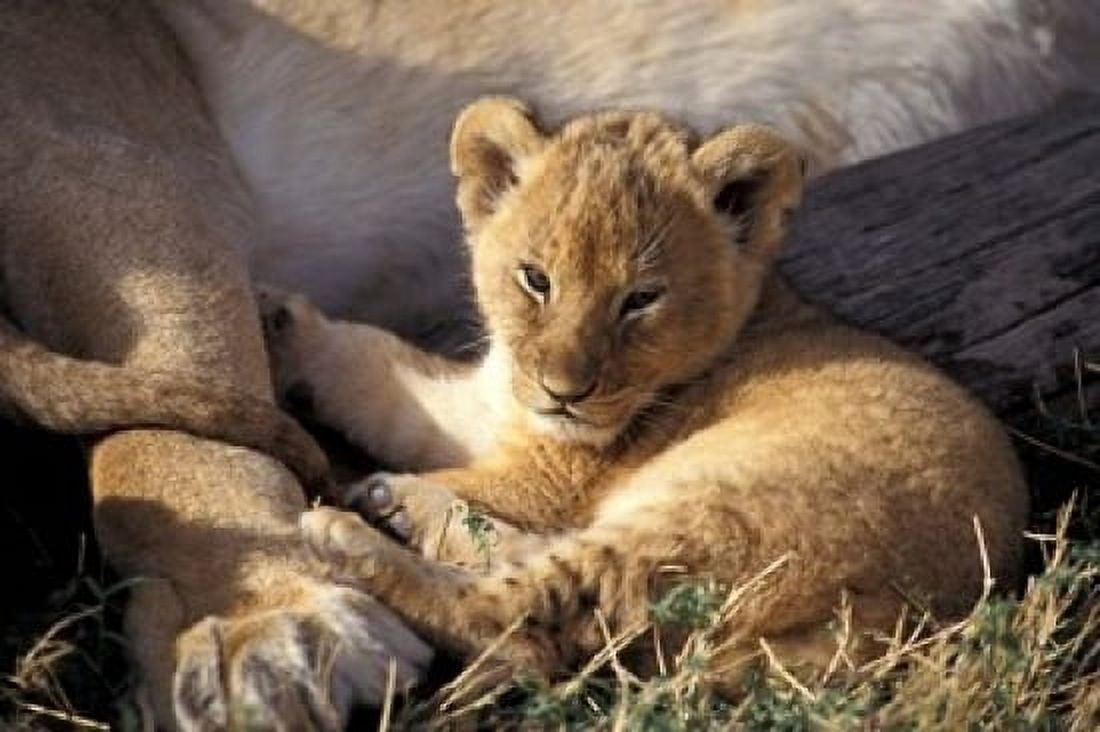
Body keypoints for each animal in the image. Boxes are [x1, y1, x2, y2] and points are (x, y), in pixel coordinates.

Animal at [264, 98, 1030, 691]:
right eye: (536, 279)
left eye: (640, 300)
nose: (564, 392)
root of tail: (909, 624)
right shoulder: (496, 405)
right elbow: (383, 373)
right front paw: (276, 322)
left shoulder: (551, 476)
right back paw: (396, 508)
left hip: (714, 513)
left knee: (526, 628)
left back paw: (355, 532)